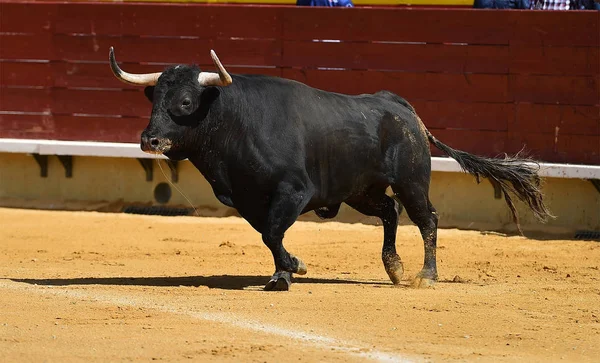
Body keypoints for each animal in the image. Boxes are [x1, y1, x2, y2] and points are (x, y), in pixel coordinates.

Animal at [109, 48, 552, 292]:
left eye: (185, 102)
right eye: (155, 100)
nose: (149, 140)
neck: (234, 122)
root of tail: (402, 107)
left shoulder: (294, 190)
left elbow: (273, 232)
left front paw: (291, 269)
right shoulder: (248, 199)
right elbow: (270, 233)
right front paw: (286, 271)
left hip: (411, 180)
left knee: (426, 218)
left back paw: (425, 275)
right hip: (361, 191)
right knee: (390, 212)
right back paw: (394, 267)